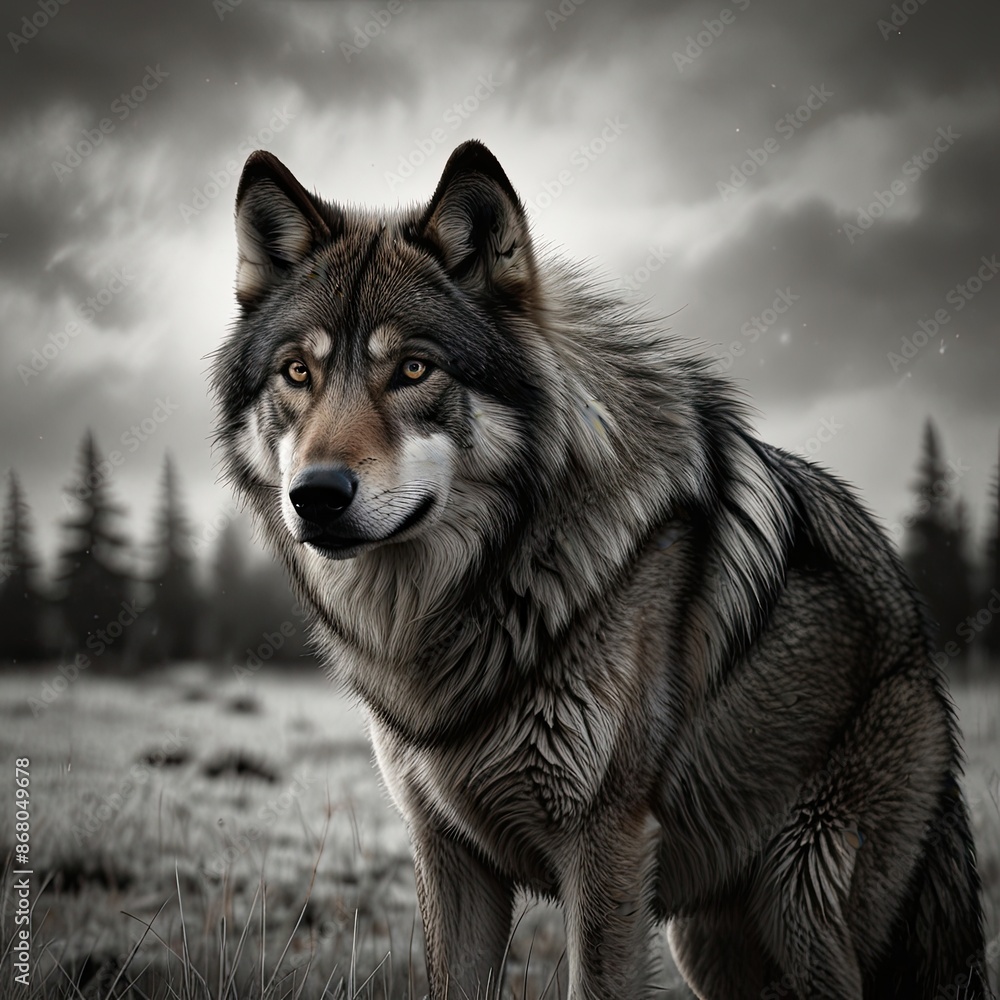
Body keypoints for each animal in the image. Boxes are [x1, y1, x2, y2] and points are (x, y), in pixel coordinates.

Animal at [211, 140, 988, 999]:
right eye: (297, 373)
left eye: (413, 370)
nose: (315, 495)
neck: (484, 589)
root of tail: (915, 632)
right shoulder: (448, 854)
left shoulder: (606, 843)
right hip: (711, 943)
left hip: (802, 907)